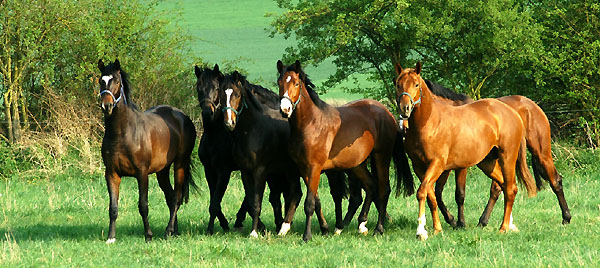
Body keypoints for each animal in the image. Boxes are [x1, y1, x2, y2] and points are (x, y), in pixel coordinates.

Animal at [95, 59, 196, 243]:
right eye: (101, 81)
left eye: (117, 81)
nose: (107, 106)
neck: (122, 133)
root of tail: (182, 116)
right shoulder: (112, 174)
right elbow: (113, 207)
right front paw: (111, 237)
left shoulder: (142, 173)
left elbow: (143, 205)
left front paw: (148, 235)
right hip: (162, 171)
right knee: (170, 197)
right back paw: (174, 231)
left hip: (180, 165)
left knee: (176, 198)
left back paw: (167, 231)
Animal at [276, 59, 412, 242]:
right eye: (279, 83)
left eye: (296, 83)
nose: (285, 109)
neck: (311, 124)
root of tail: (387, 113)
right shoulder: (305, 170)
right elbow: (316, 201)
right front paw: (325, 229)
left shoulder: (314, 168)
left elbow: (309, 203)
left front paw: (307, 236)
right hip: (357, 164)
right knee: (371, 185)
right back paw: (357, 224)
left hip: (381, 157)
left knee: (384, 189)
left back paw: (378, 229)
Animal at [396, 61, 536, 240]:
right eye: (398, 84)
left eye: (416, 84)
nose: (405, 109)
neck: (430, 123)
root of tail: (513, 113)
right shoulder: (419, 167)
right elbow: (431, 196)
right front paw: (437, 228)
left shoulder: (438, 165)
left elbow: (423, 193)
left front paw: (421, 231)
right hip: (487, 163)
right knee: (504, 186)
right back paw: (508, 224)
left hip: (507, 158)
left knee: (511, 189)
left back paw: (503, 227)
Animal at [422, 81, 572, 226]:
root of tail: (532, 105)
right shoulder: (445, 165)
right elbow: (438, 193)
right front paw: (451, 220)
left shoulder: (461, 166)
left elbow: (459, 194)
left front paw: (459, 223)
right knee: (497, 188)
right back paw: (483, 221)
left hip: (541, 153)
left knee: (555, 180)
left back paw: (566, 218)